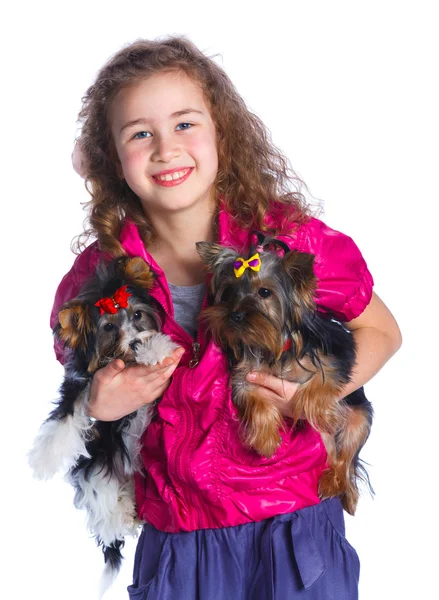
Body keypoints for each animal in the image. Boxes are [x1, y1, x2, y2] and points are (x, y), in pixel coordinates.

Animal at [199, 237, 374, 512]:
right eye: (229, 291)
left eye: (264, 292)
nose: (234, 314)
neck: (271, 344)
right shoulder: (245, 376)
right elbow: (256, 402)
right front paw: (266, 441)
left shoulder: (335, 355)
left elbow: (320, 382)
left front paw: (321, 411)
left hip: (360, 419)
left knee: (347, 456)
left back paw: (336, 486)